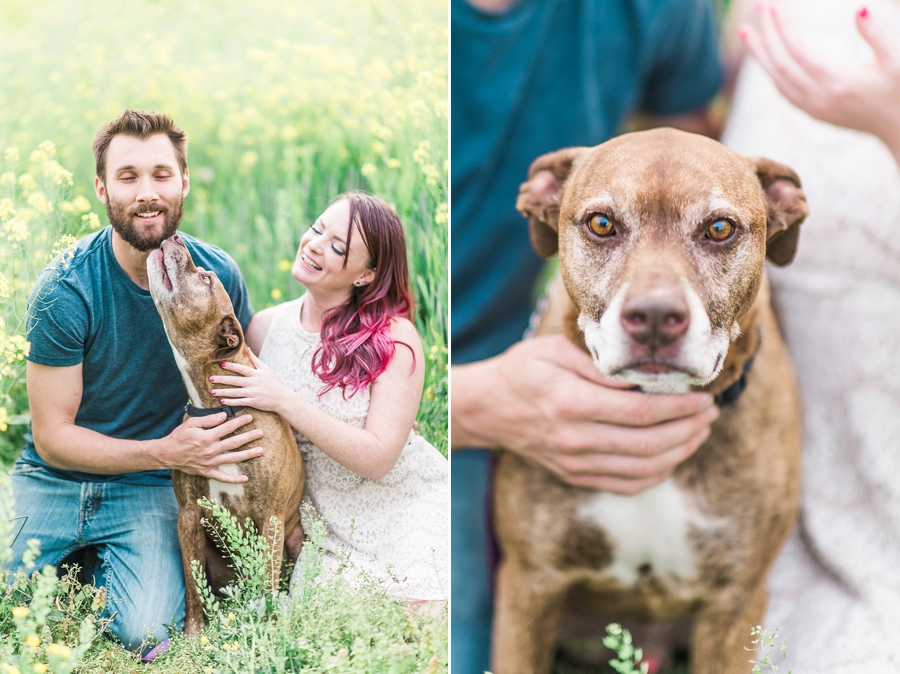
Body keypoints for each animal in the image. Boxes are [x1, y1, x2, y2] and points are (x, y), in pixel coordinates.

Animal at [146, 235, 304, 636]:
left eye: (205, 279)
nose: (175, 237)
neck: (219, 409)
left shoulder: (271, 518)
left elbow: (267, 581)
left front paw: (268, 628)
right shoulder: (188, 516)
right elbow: (193, 583)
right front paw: (193, 635)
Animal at [492, 127, 808, 672]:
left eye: (720, 228)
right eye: (602, 224)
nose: (656, 316)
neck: (657, 403)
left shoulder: (734, 602)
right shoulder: (529, 586)